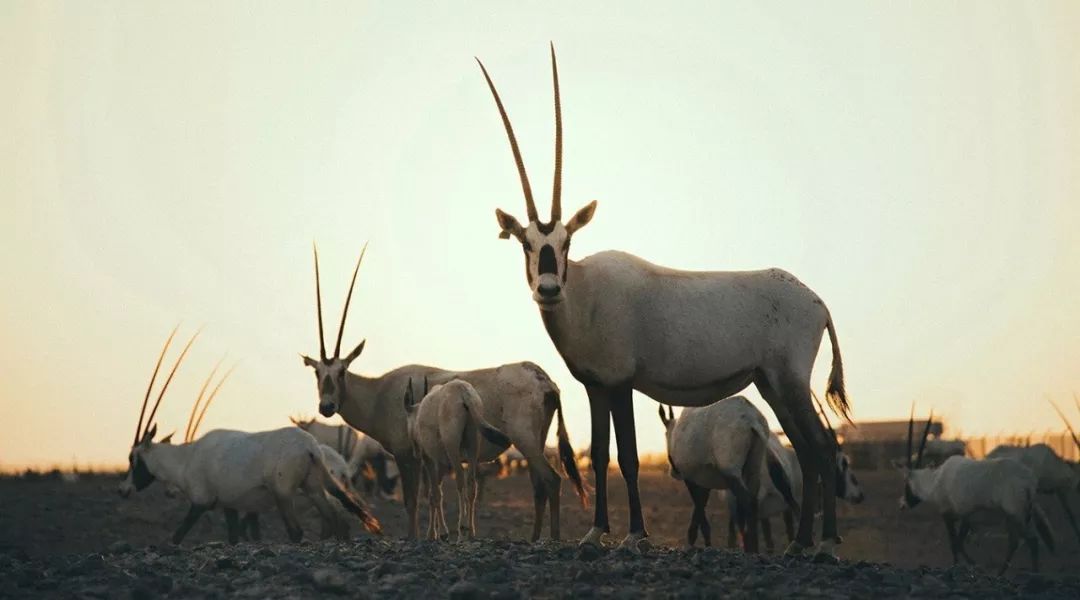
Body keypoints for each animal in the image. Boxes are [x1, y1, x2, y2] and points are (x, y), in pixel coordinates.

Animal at [403, 377, 511, 541]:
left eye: (407, 421)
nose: (415, 452)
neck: (419, 413)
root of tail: (463, 391)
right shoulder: (442, 464)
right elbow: (435, 493)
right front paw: (435, 532)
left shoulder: (429, 459)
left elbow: (435, 494)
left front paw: (438, 533)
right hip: (473, 445)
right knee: (471, 483)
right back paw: (471, 532)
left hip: (452, 446)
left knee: (460, 480)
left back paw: (463, 527)